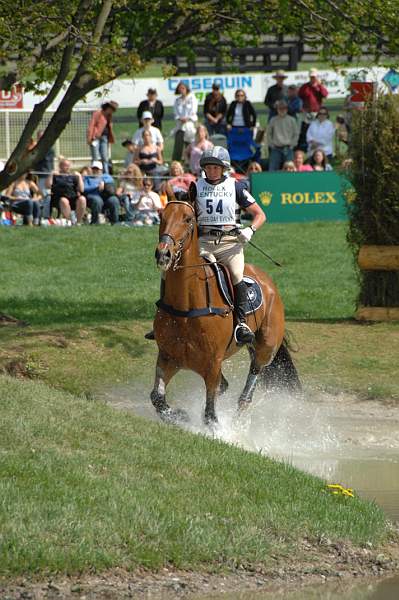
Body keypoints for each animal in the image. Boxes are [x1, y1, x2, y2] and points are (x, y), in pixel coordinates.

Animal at [151, 199, 300, 424]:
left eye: (188, 219)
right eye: (162, 216)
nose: (163, 254)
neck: (186, 306)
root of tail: (267, 281)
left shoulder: (213, 363)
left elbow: (210, 415)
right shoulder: (169, 357)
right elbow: (157, 398)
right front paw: (180, 415)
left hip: (265, 346)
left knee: (252, 377)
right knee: (225, 385)